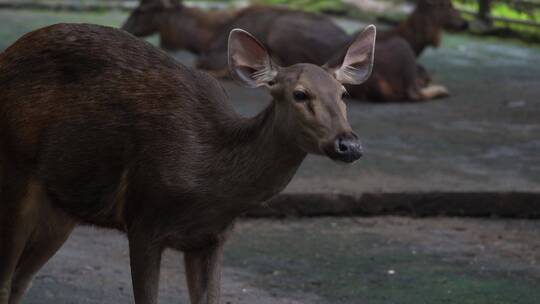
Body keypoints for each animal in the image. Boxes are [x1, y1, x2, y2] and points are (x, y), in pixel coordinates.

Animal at [0, 22, 378, 302]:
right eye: (299, 94)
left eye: (343, 94)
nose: (348, 144)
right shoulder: (143, 219)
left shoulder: (212, 238)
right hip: (15, 174)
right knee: (6, 281)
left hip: (63, 206)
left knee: (21, 280)